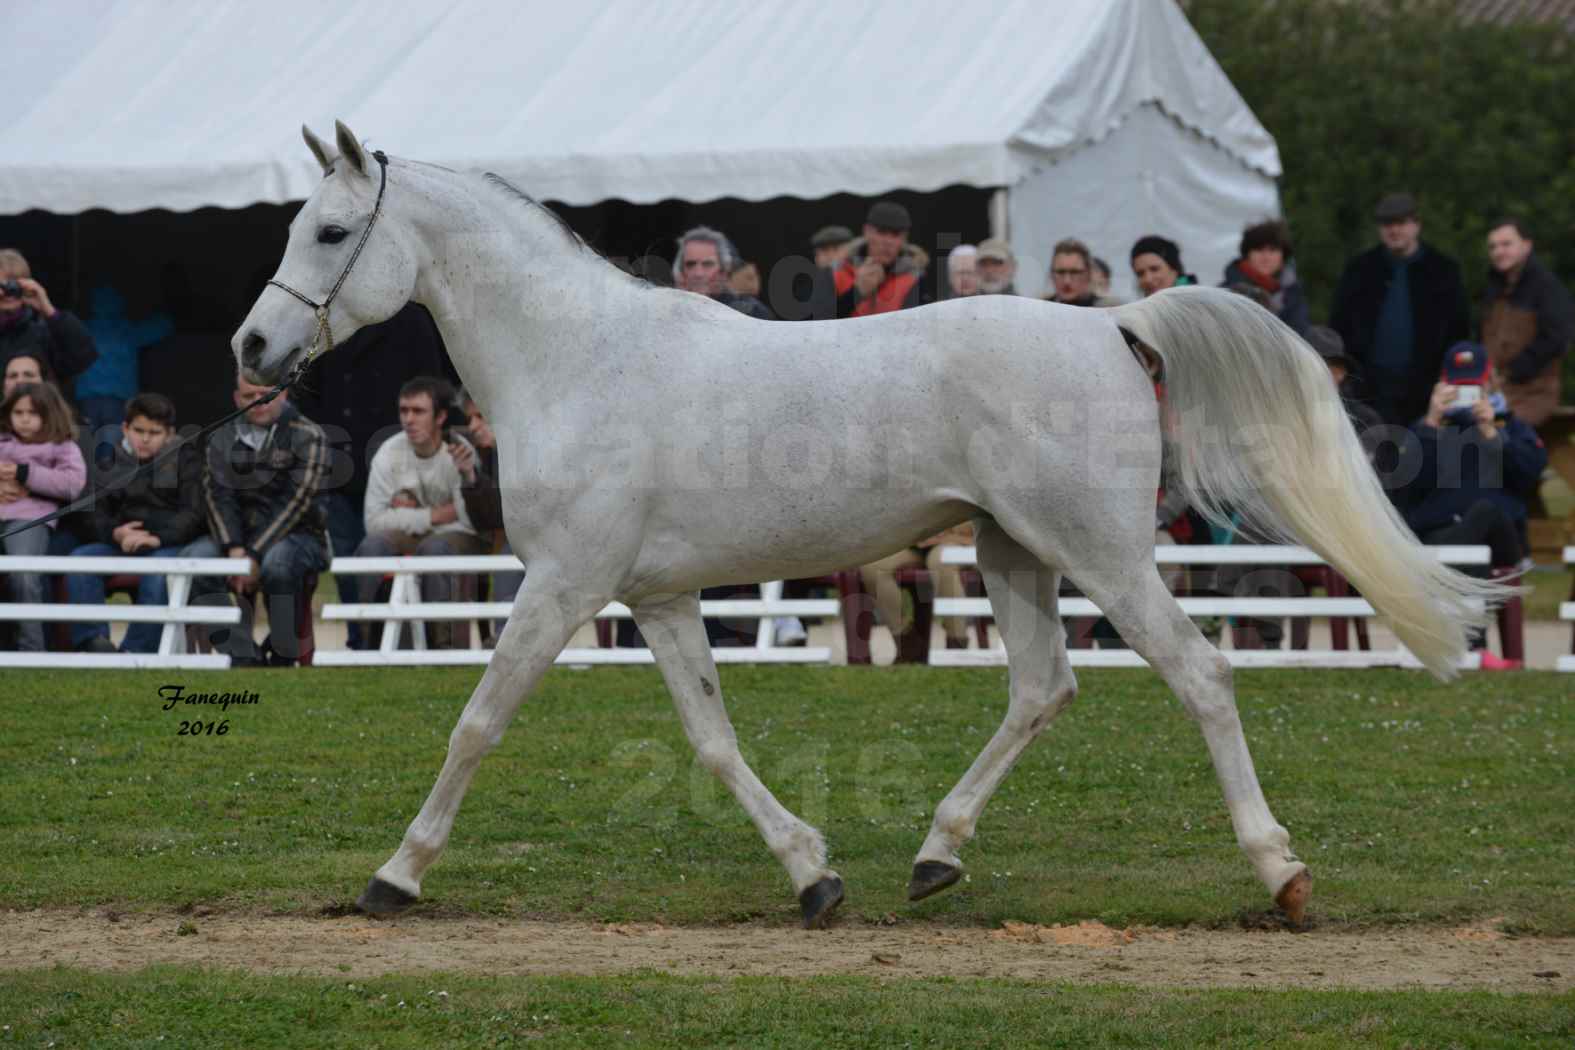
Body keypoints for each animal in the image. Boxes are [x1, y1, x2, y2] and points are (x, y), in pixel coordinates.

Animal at [233, 123, 1499, 925]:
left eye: (333, 232)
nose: (252, 348)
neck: (579, 358)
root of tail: (1113, 324)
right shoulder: (657, 596)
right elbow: (712, 740)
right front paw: (812, 875)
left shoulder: (562, 585)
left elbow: (477, 724)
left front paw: (395, 876)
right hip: (1015, 556)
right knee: (1042, 688)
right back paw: (935, 858)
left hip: (1103, 558)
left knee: (1200, 675)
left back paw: (1279, 873)